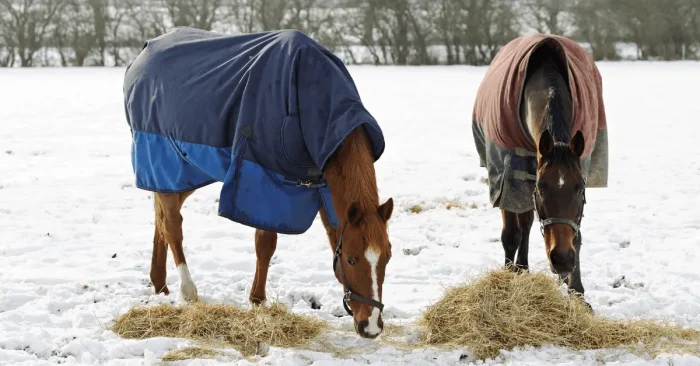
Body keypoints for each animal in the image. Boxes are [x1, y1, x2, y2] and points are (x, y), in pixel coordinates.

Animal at [124, 27, 394, 338]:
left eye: (387, 256)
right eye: (351, 259)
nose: (371, 327)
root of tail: (144, 51)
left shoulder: (325, 187)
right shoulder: (264, 181)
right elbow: (265, 244)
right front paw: (257, 300)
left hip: (185, 172)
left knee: (161, 219)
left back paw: (159, 285)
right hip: (164, 160)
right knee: (171, 224)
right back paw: (187, 291)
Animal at [474, 35, 608, 308]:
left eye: (580, 189)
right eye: (541, 189)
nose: (562, 259)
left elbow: (576, 235)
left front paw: (577, 292)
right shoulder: (507, 175)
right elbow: (511, 233)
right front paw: (510, 277)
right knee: (519, 226)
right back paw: (519, 267)